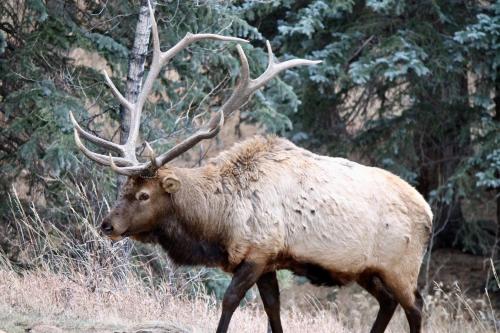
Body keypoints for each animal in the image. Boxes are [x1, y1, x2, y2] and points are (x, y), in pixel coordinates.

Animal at [68, 3, 432, 332]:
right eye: (125, 189)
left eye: (144, 194)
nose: (107, 225)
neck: (217, 223)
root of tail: (428, 212)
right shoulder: (268, 261)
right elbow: (272, 310)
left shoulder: (258, 252)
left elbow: (230, 300)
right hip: (368, 270)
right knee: (388, 302)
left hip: (402, 266)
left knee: (415, 306)